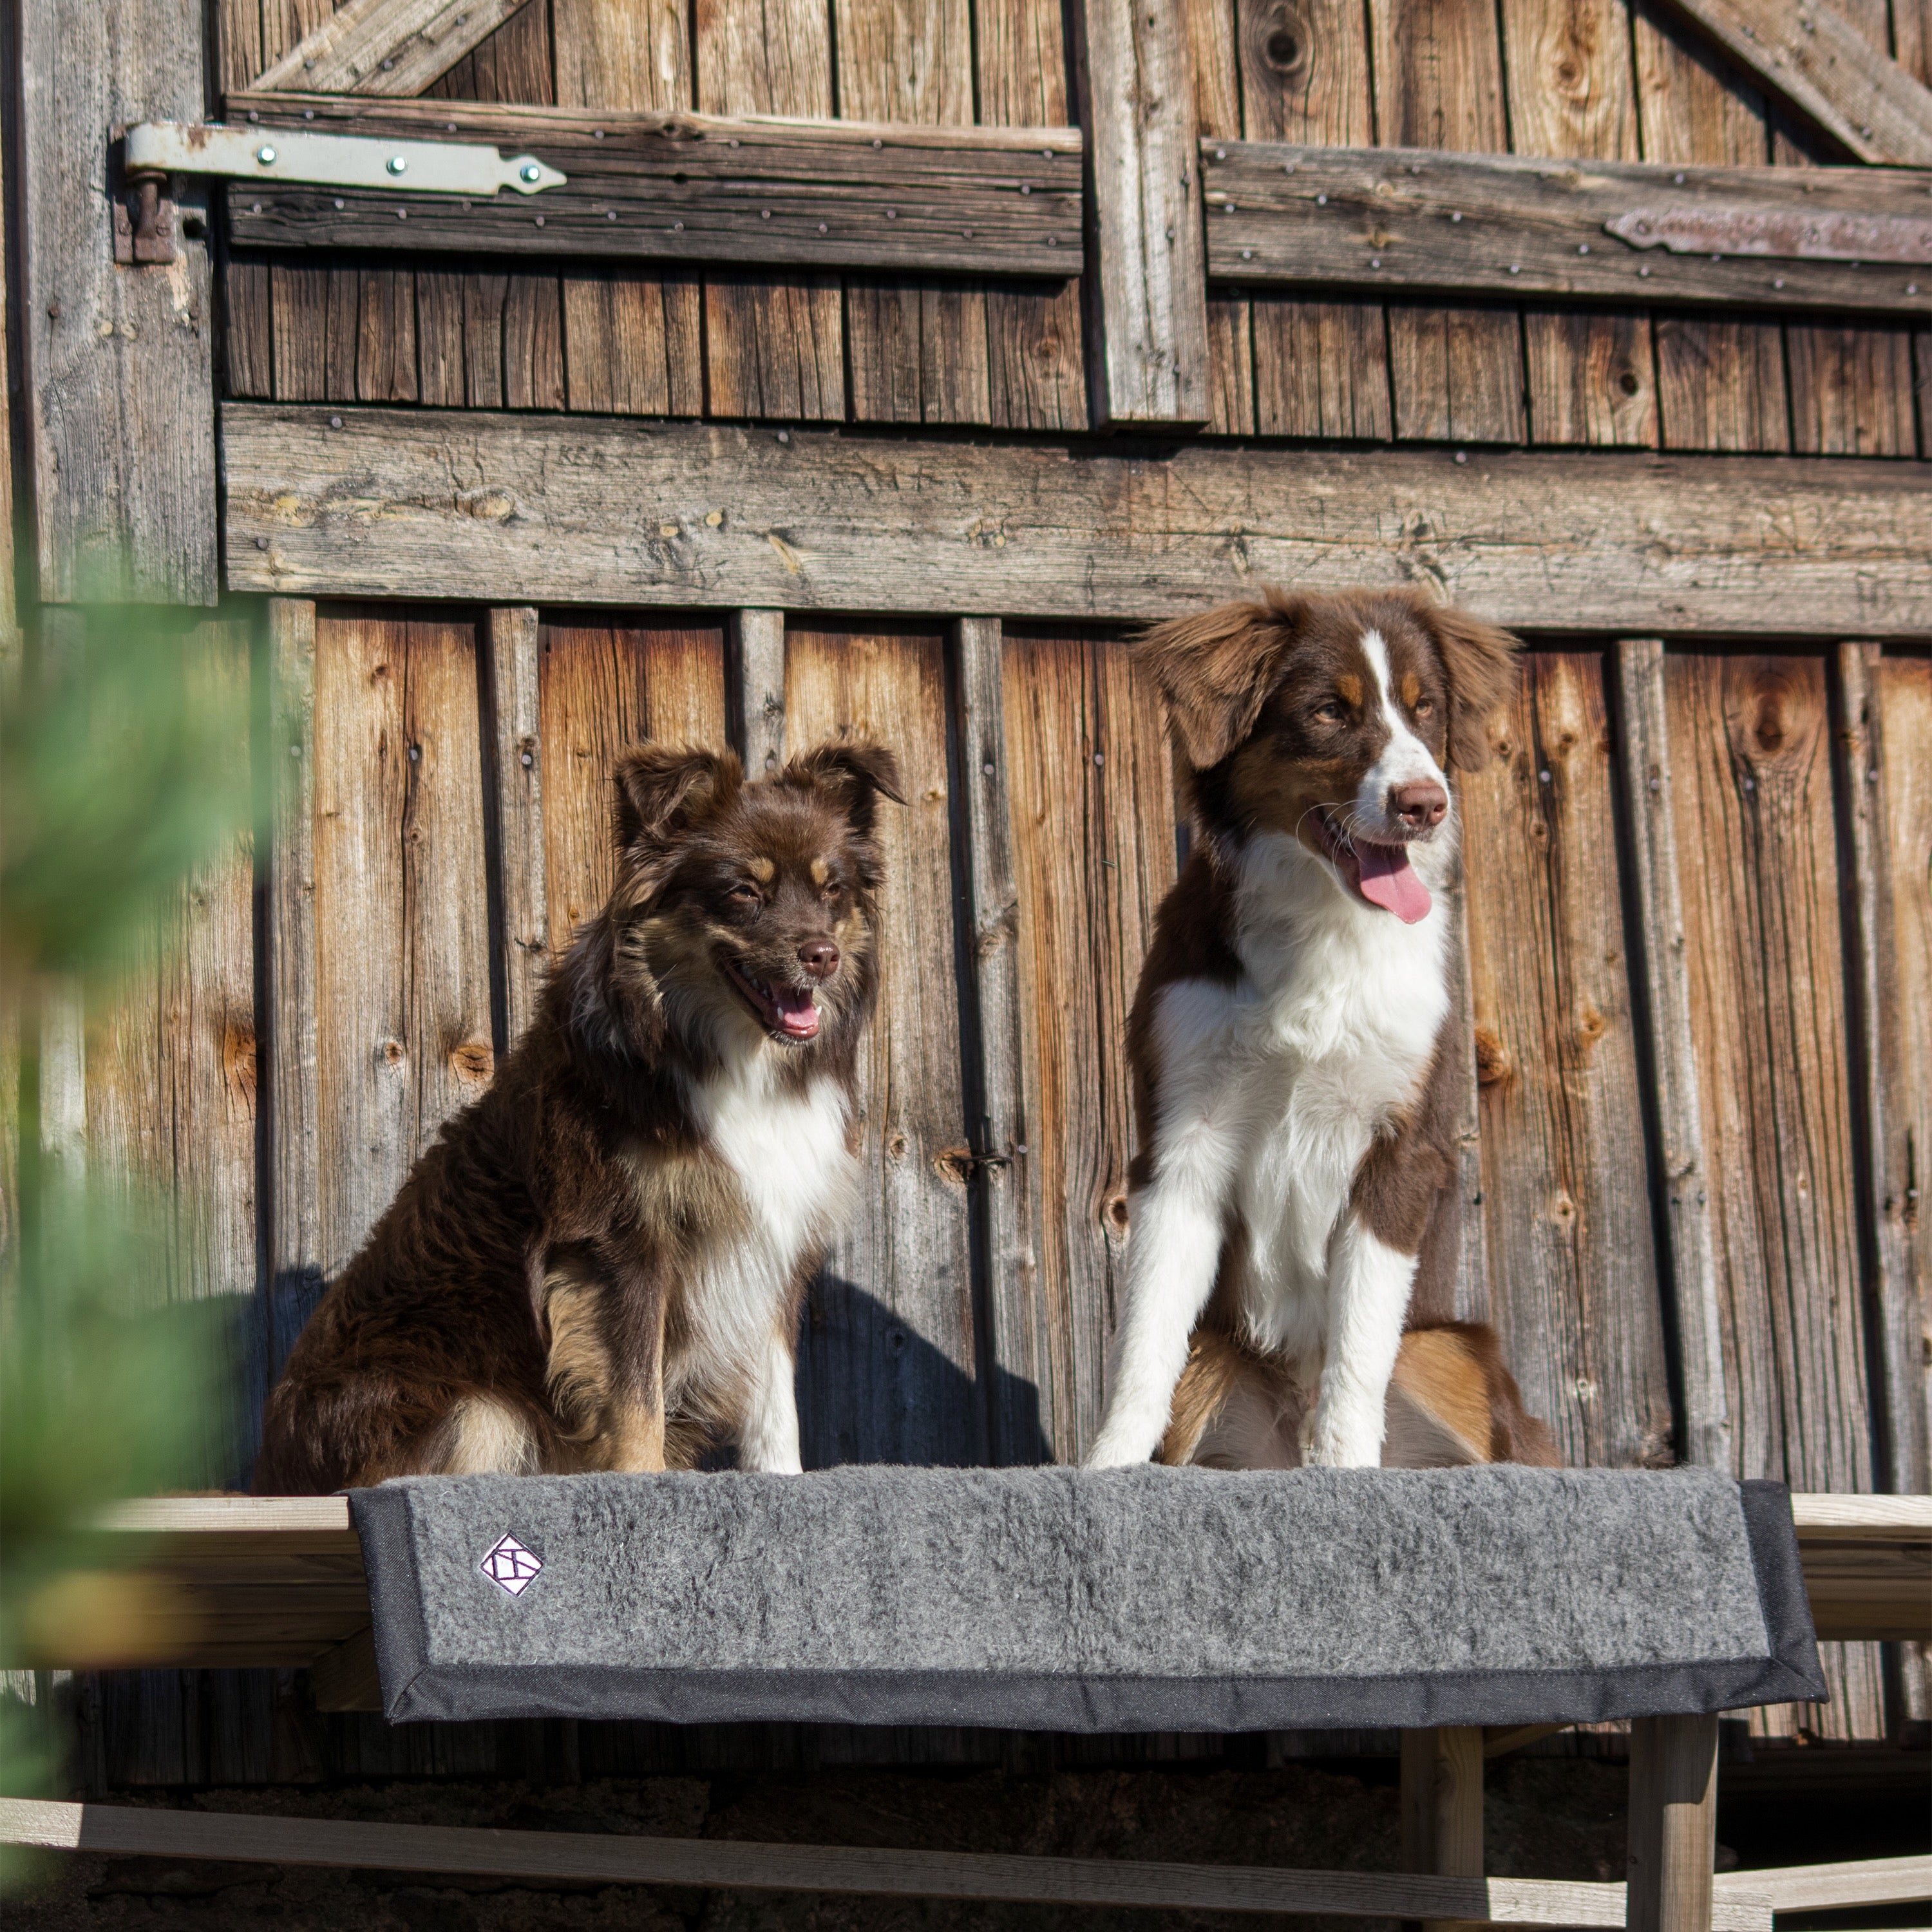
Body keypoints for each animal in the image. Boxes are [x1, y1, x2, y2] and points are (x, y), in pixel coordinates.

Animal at [251, 738, 904, 1492]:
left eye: (833, 890)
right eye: (744, 891)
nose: (822, 957)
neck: (728, 1056)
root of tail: (269, 1472)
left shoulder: (776, 1243)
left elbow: (775, 1401)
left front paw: (786, 1486)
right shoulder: (617, 1246)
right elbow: (635, 1399)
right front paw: (641, 1486)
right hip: (477, 1410)